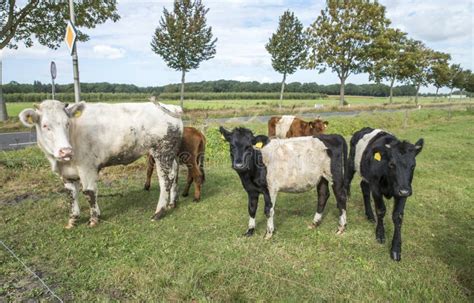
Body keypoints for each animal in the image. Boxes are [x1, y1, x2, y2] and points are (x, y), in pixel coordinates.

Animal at [18, 101, 182, 229]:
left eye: (67, 123)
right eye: (45, 125)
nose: (65, 151)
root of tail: (172, 107)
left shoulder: (87, 167)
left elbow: (89, 192)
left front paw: (94, 219)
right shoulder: (66, 174)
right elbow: (71, 195)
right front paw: (73, 220)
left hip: (162, 151)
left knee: (165, 180)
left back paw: (158, 212)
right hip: (170, 154)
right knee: (174, 174)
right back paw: (172, 203)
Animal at [219, 126, 348, 240]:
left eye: (249, 147)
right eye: (232, 145)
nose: (239, 165)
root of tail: (334, 135)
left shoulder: (270, 188)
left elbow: (268, 210)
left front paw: (269, 233)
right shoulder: (251, 190)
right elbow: (251, 209)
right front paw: (250, 231)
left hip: (335, 175)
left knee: (341, 196)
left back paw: (341, 227)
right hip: (321, 177)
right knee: (323, 195)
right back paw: (314, 223)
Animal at [342, 127, 424, 262]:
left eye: (413, 166)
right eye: (392, 164)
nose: (405, 191)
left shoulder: (402, 191)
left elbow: (398, 216)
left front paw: (396, 248)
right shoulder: (376, 187)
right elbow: (381, 210)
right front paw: (380, 234)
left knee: (364, 187)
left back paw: (370, 215)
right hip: (351, 162)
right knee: (347, 180)